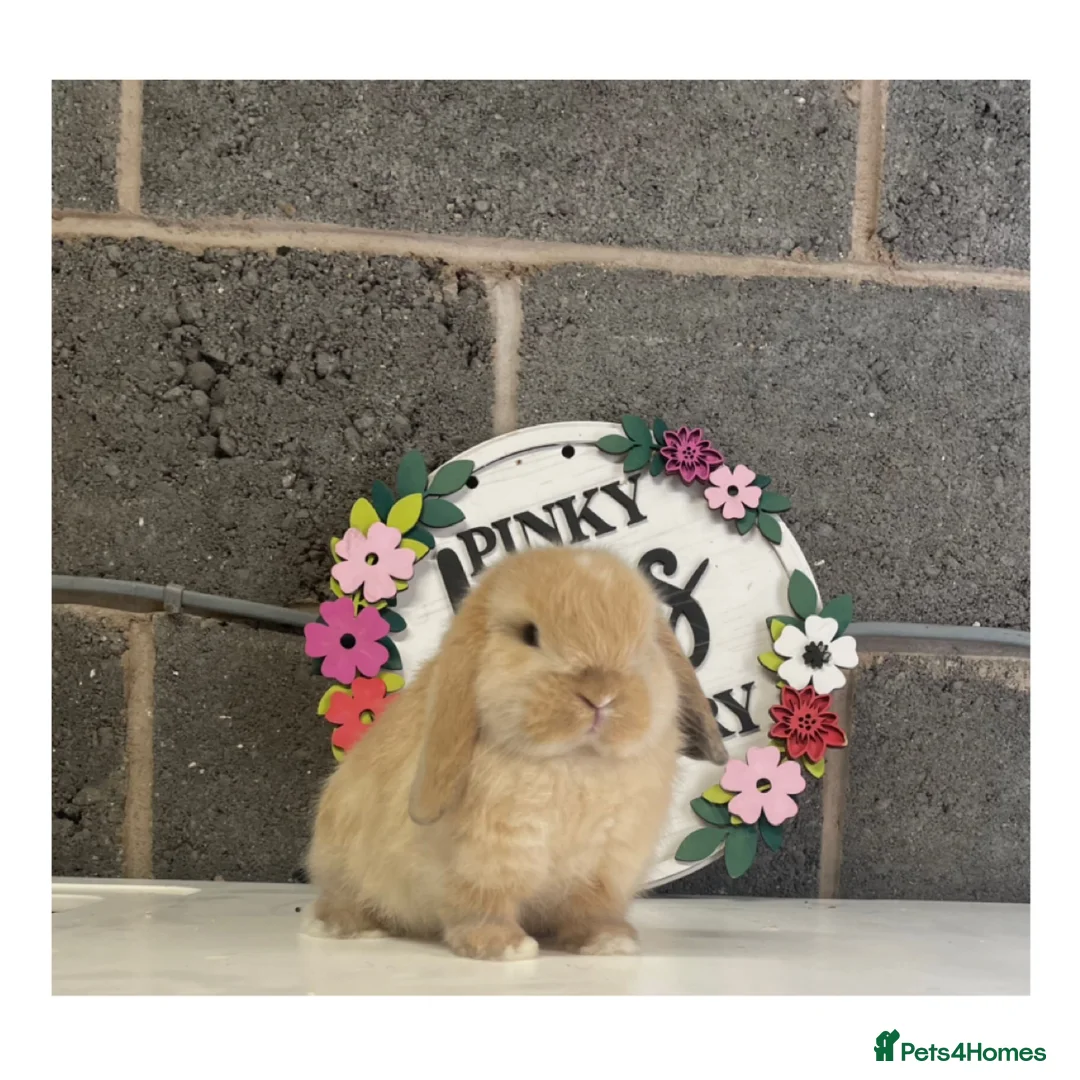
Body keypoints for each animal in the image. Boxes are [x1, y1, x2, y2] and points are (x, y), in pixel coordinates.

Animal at [305, 545, 727, 961]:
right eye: (529, 634)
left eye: (645, 644)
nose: (600, 694)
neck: (576, 760)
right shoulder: (487, 859)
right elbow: (482, 904)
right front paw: (502, 946)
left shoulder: (605, 867)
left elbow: (591, 909)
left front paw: (608, 941)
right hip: (341, 867)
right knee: (340, 900)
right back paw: (347, 927)